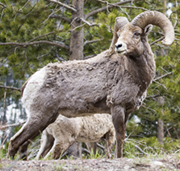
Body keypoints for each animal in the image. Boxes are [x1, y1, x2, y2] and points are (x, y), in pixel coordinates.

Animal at [8, 10, 174, 158]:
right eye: (119, 33)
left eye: (137, 34)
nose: (119, 46)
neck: (133, 75)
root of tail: (30, 81)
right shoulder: (116, 107)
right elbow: (119, 138)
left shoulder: (126, 112)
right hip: (40, 117)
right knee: (15, 142)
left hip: (47, 121)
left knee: (23, 144)